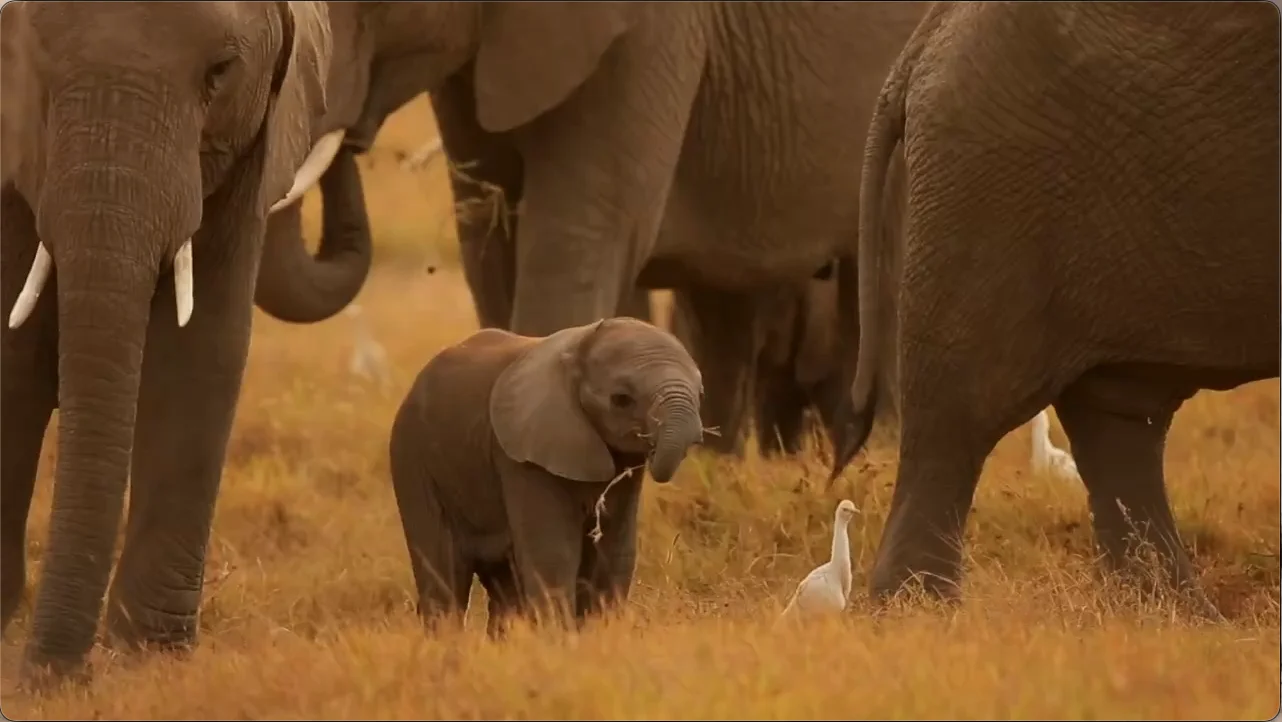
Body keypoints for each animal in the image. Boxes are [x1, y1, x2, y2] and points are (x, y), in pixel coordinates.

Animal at [0, 1, 335, 683]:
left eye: (220, 72)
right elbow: (13, 361)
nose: (52, 675)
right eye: (39, 63)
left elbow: (200, 353)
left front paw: (150, 658)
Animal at [388, 317, 704, 633]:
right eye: (621, 399)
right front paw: (559, 639)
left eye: (701, 392)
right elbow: (553, 555)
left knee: (504, 586)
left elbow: (614, 552)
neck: (579, 346)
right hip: (413, 458)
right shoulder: (524, 457)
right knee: (444, 572)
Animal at [829, 1, 1279, 615]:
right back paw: (919, 612)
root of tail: (930, 34)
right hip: (992, 175)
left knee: (1121, 413)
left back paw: (1173, 616)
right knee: (960, 411)